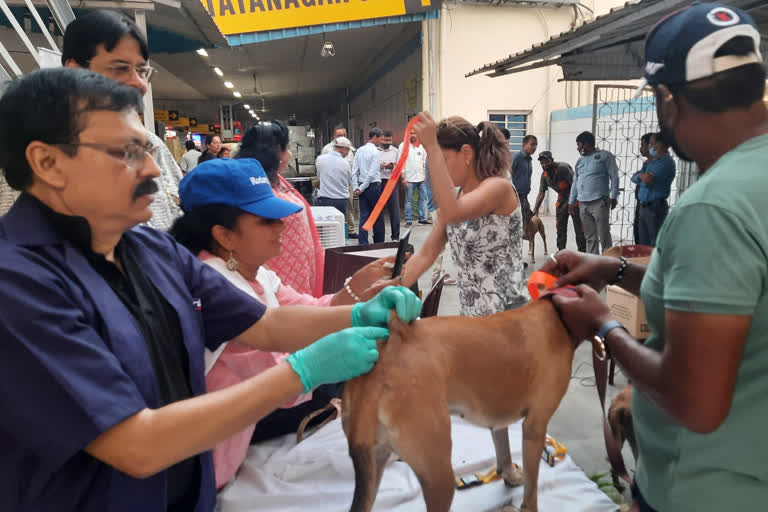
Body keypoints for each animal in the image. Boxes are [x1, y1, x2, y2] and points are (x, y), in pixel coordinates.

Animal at [342, 300, 576, 512]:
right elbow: (532, 487)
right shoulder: (535, 429)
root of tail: (393, 347)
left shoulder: (498, 421)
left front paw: (509, 474)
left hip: (374, 464)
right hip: (440, 479)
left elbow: (504, 451)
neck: (555, 311)